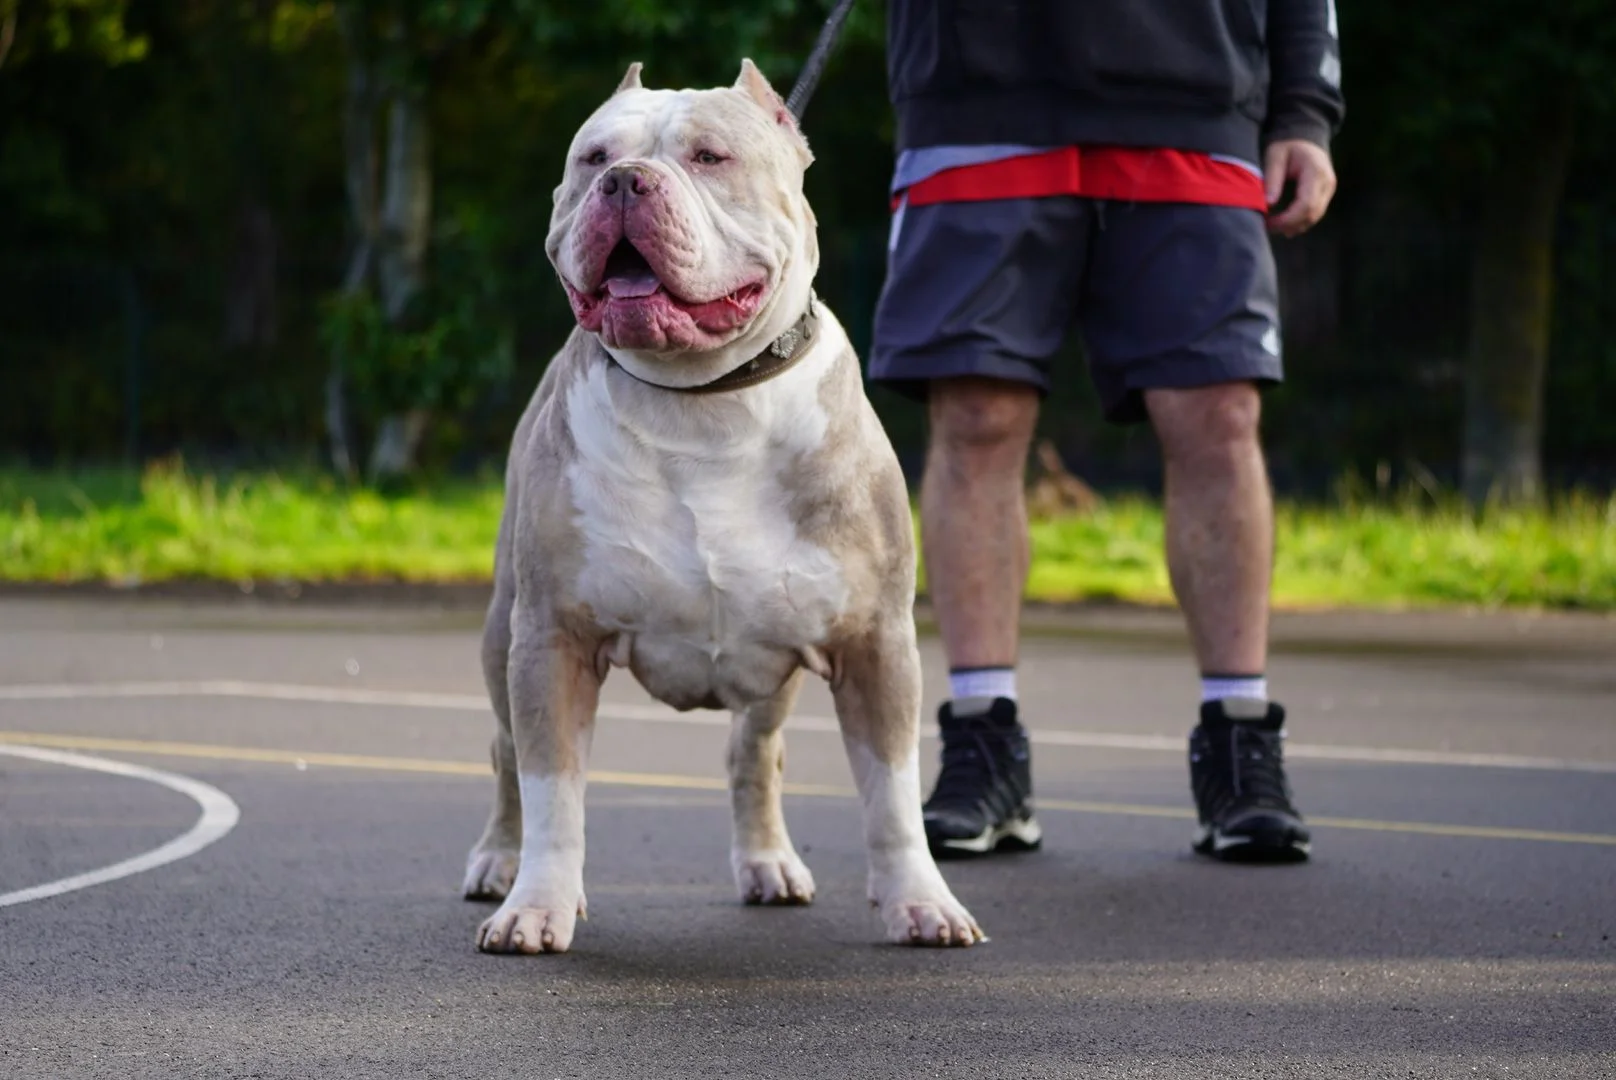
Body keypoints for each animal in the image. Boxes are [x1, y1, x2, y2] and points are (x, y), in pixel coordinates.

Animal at [462, 61, 976, 950]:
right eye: (592, 157)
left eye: (710, 157)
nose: (624, 182)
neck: (705, 402)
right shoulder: (553, 637)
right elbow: (552, 788)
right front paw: (536, 906)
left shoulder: (876, 643)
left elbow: (892, 795)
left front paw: (921, 901)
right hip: (503, 633)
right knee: (503, 754)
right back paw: (498, 859)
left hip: (777, 672)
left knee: (754, 755)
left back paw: (768, 863)